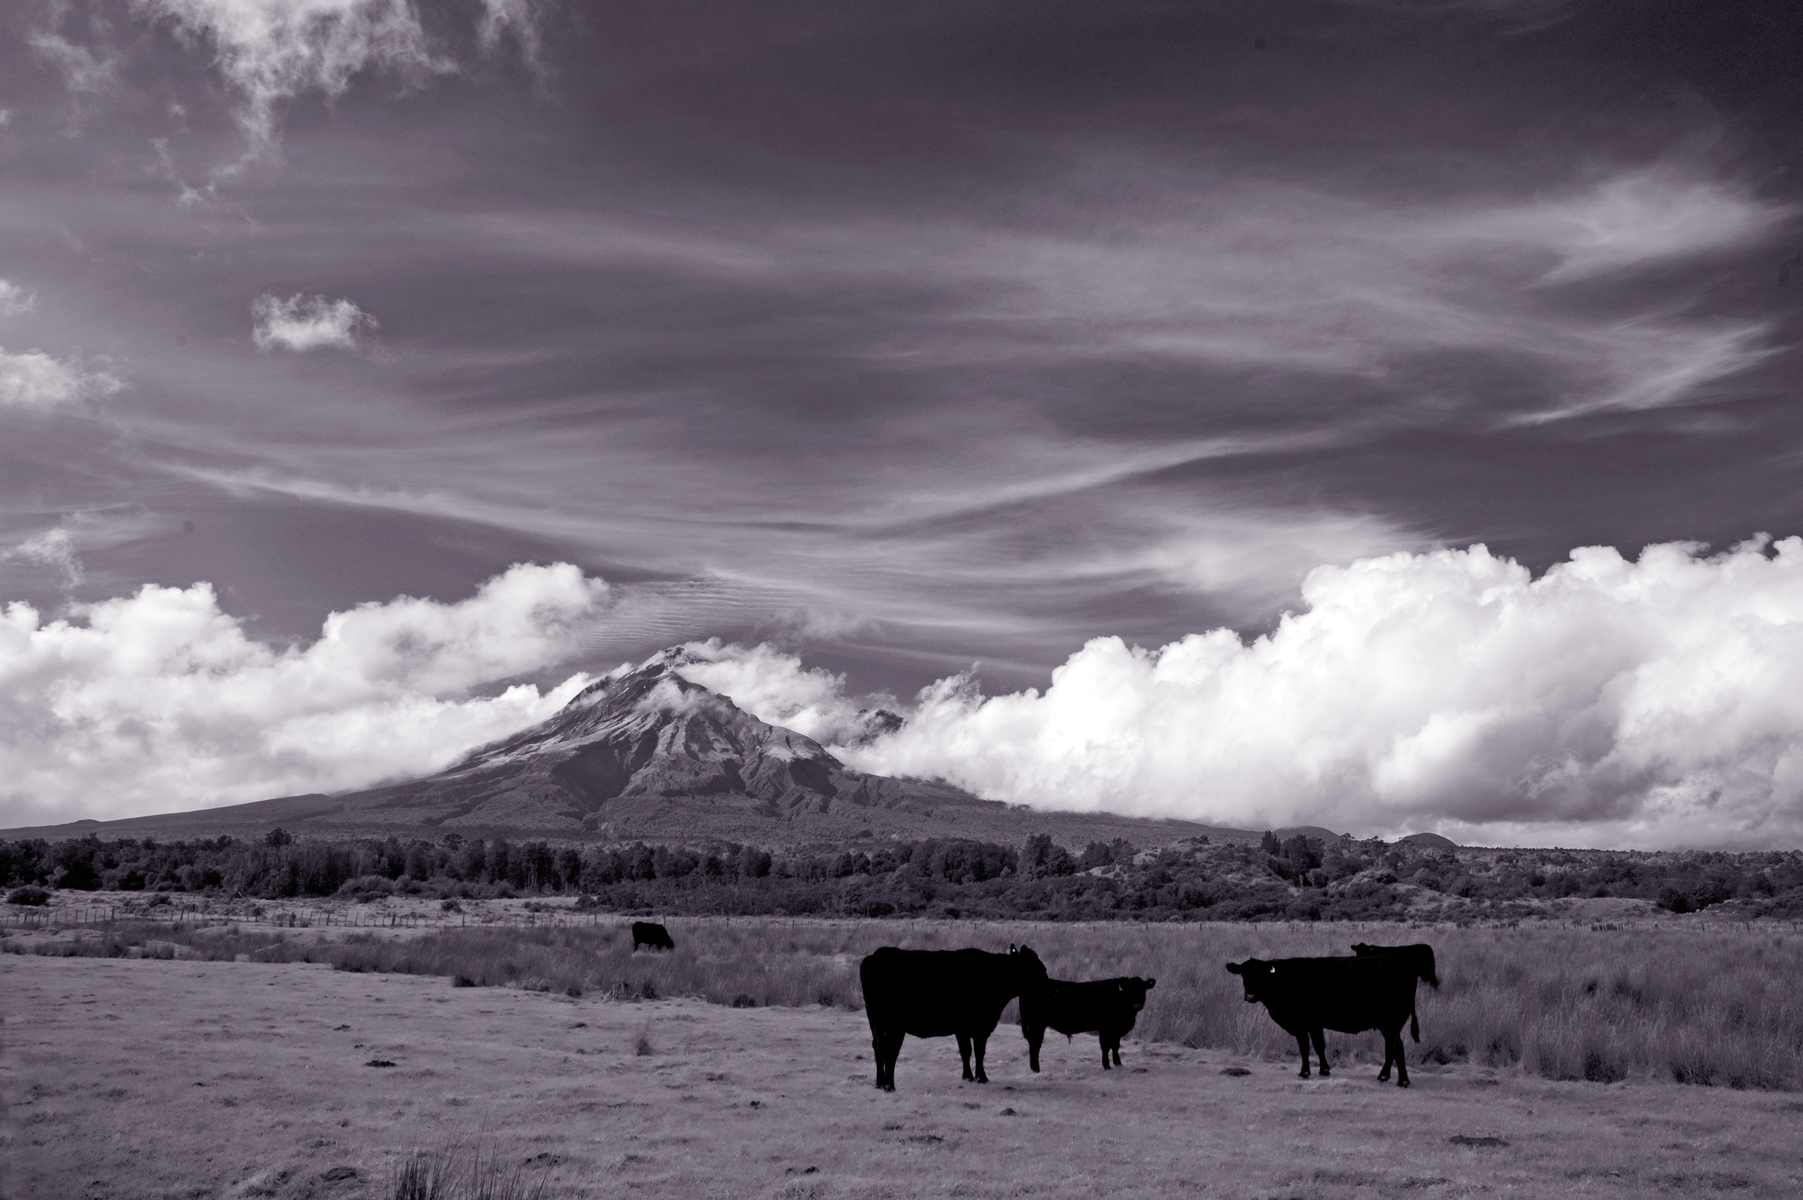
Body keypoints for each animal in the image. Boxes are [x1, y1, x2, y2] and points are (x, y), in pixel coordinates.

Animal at [854, 936, 1045, 1088]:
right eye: (1036, 968)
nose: (1045, 977)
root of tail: (877, 956)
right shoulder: (981, 1025)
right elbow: (979, 1051)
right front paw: (981, 1077)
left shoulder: (961, 1027)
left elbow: (965, 1050)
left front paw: (968, 1076)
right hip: (895, 1023)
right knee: (890, 1049)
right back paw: (889, 1086)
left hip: (875, 1018)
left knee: (877, 1046)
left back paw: (879, 1083)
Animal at [1016, 972, 1153, 1066]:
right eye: (1129, 990)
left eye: (1143, 989)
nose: (1137, 1005)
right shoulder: (1105, 1029)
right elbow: (1105, 1046)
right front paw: (1106, 1065)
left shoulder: (1116, 1030)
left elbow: (1115, 1046)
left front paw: (1118, 1063)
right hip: (1036, 1024)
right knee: (1035, 1043)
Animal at [1226, 951, 1420, 1081]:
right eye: (1243, 974)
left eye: (1263, 975)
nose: (1250, 996)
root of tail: (1404, 964)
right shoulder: (1314, 1023)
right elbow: (1319, 1045)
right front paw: (1324, 1070)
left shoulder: (1300, 1023)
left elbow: (1304, 1047)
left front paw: (1304, 1072)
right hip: (1393, 1023)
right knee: (1390, 1047)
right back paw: (1384, 1076)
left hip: (1388, 1021)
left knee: (1396, 1045)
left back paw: (1402, 1080)